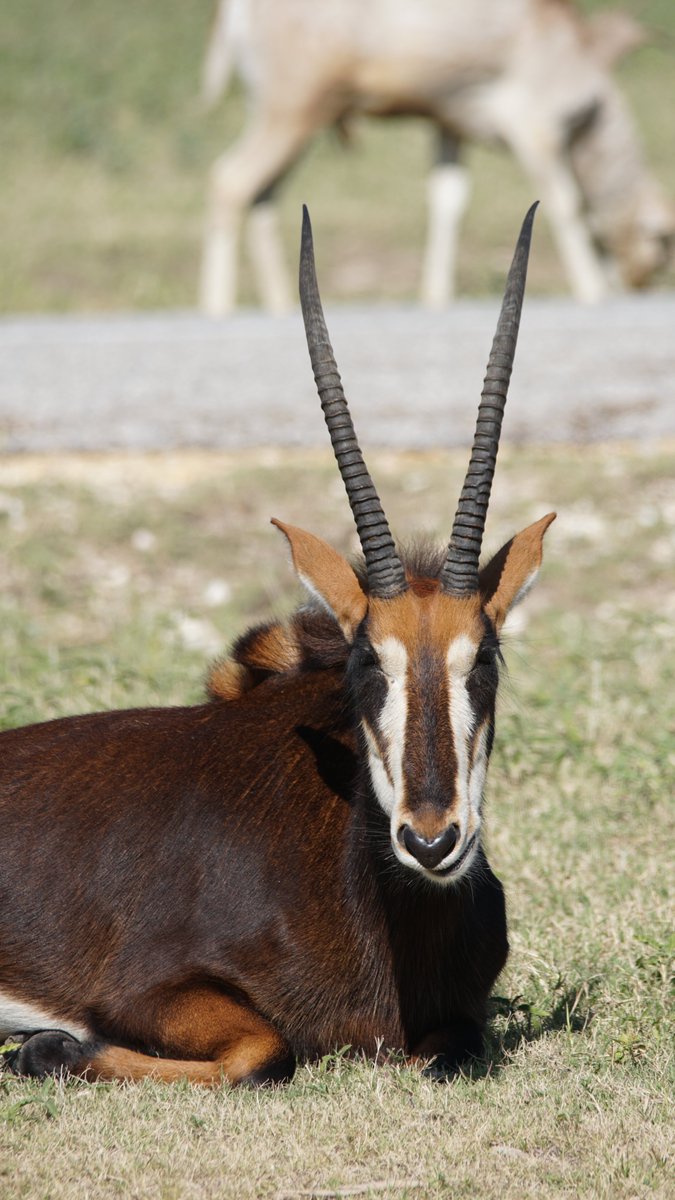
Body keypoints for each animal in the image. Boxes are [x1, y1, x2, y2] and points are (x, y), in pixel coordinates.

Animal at [0, 206, 555, 1087]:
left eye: (484, 660)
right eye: (366, 665)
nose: (431, 840)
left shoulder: (462, 1021)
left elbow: (453, 1052)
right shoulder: (144, 987)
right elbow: (264, 1051)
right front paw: (45, 1044)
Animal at [200, 0, 674, 315]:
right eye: (662, 246)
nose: (636, 285)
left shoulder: (450, 125)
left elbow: (449, 201)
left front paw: (436, 296)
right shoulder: (535, 129)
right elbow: (569, 205)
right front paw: (593, 291)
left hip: (293, 118)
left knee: (263, 196)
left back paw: (280, 304)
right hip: (294, 111)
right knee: (230, 181)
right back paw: (218, 308)